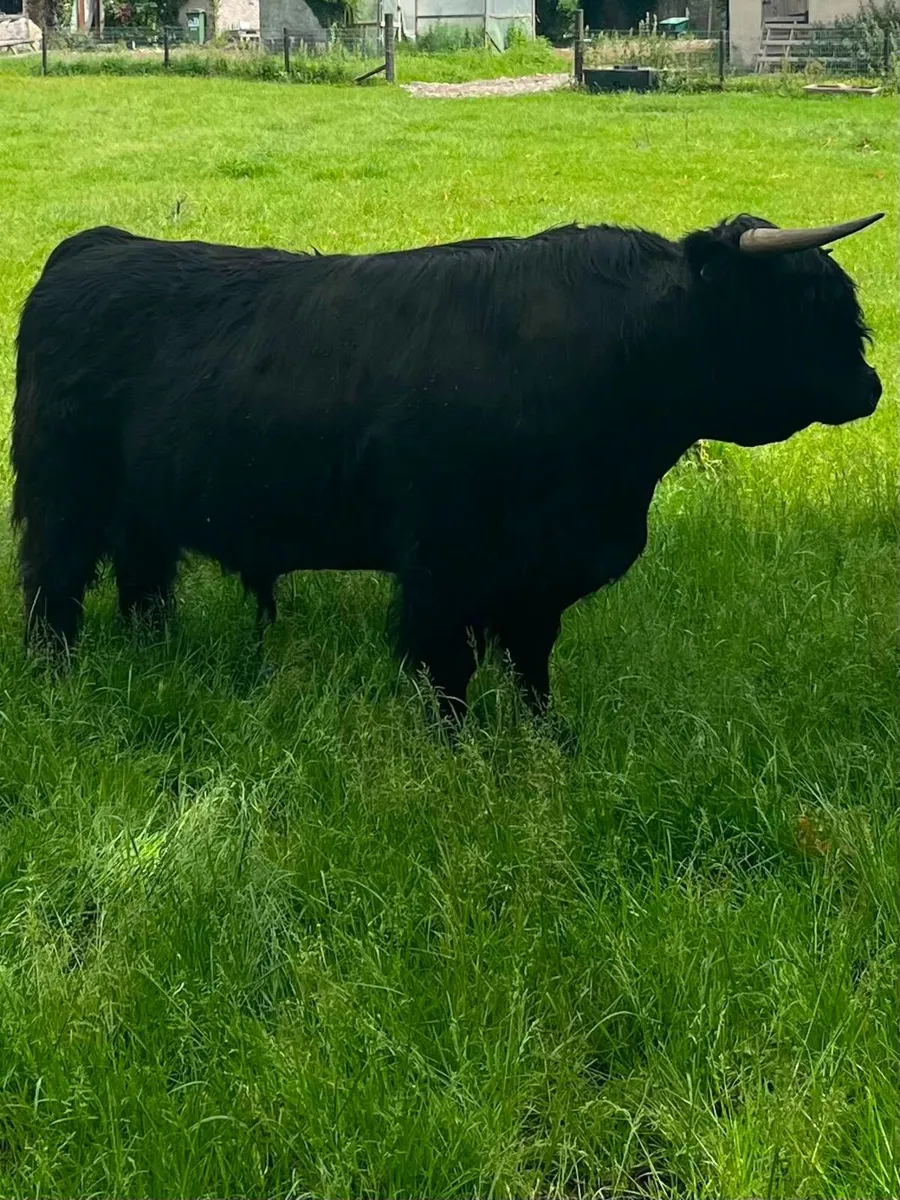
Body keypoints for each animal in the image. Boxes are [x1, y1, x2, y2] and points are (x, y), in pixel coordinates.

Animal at [10, 212, 884, 725]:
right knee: (53, 587)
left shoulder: (538, 571)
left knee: (142, 583)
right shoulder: (443, 558)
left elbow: (532, 661)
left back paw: (154, 660)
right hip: (62, 492)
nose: (872, 387)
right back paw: (58, 681)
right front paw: (454, 751)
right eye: (807, 308)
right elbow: (446, 666)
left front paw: (546, 742)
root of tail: (98, 244)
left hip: (143, 506)